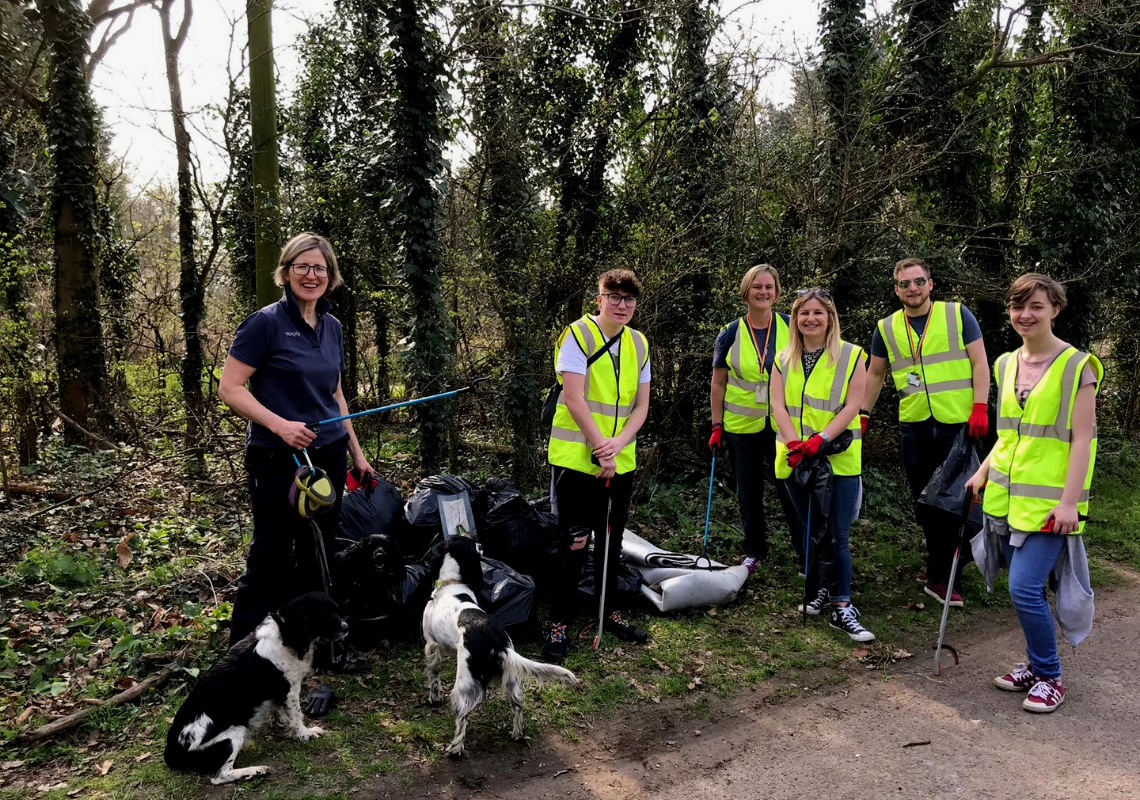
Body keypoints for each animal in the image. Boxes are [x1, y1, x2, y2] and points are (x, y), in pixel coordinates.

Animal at [163, 592, 344, 788]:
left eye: (336, 609)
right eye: (323, 615)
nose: (347, 627)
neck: (284, 632)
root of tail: (171, 752)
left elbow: (283, 713)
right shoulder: (290, 690)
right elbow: (297, 716)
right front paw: (305, 734)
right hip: (233, 733)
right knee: (220, 776)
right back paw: (255, 770)